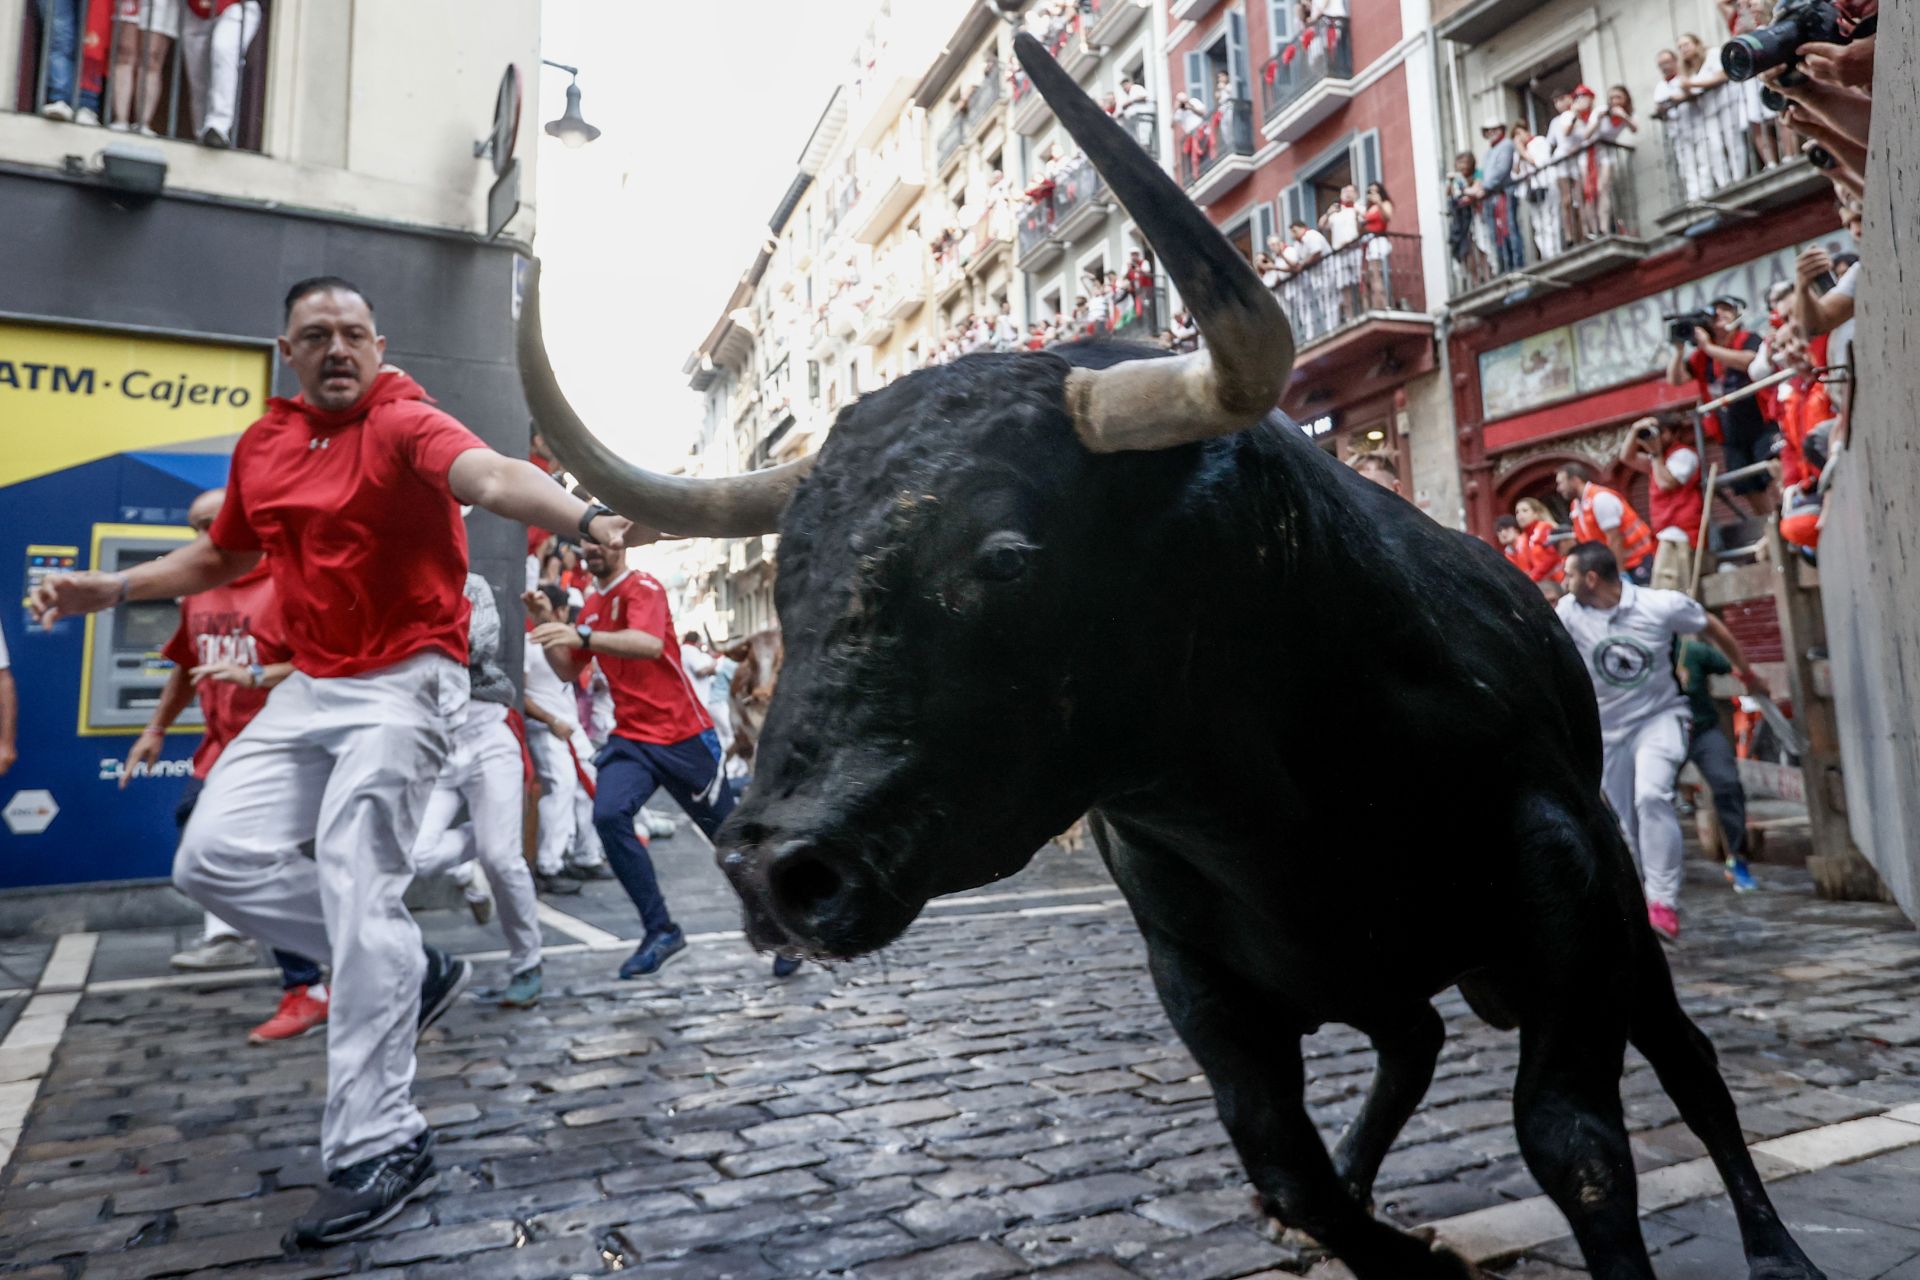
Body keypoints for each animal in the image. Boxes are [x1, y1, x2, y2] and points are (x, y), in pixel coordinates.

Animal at [522, 29, 1812, 1280]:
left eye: (1005, 555)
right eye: (789, 573)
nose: (773, 871)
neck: (1282, 791)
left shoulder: (1570, 892)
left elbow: (1577, 1144)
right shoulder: (1195, 970)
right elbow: (1282, 1161)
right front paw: (1382, 1238)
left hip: (1611, 924)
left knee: (1684, 1057)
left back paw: (1776, 1244)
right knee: (1414, 1043)